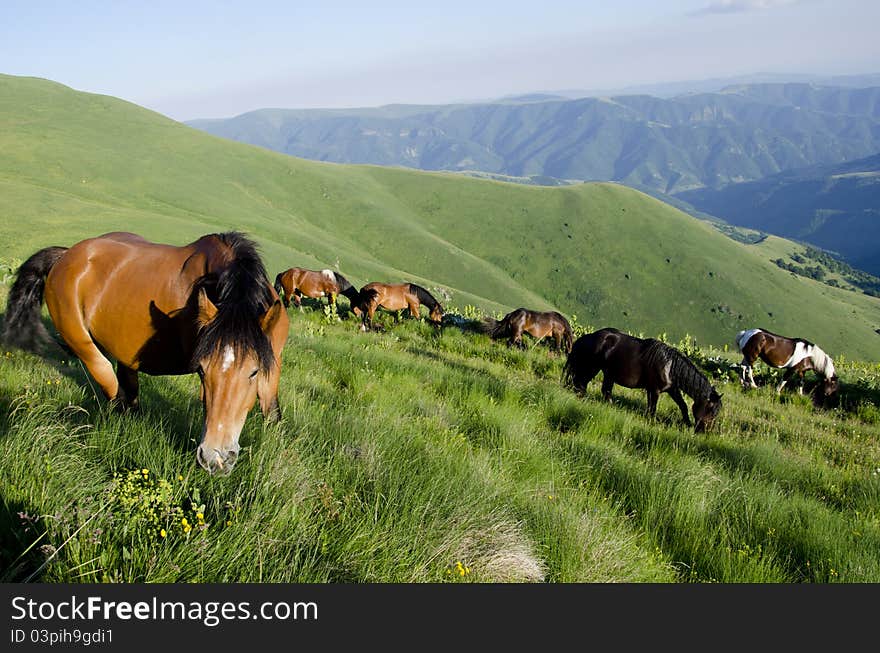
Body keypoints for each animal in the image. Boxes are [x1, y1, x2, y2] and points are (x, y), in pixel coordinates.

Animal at [0, 233, 288, 474]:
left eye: (253, 372)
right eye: (202, 370)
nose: (214, 458)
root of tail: (65, 256)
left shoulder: (272, 365)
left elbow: (272, 412)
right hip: (82, 343)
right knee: (111, 386)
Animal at [564, 326, 720, 432]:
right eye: (710, 409)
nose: (704, 431)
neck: (670, 366)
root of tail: (589, 337)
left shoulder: (671, 389)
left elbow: (682, 406)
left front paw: (686, 424)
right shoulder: (655, 390)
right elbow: (653, 408)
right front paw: (651, 422)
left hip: (608, 373)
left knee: (602, 390)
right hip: (592, 368)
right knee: (581, 382)